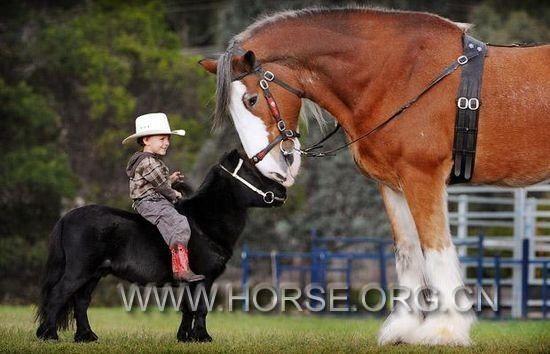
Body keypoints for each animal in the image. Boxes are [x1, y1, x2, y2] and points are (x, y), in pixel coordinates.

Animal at [36, 150, 286, 342]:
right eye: (251, 173)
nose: (282, 192)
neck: (203, 222)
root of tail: (66, 217)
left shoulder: (191, 280)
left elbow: (188, 308)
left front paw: (185, 338)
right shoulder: (205, 277)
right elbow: (201, 307)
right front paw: (203, 337)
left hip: (94, 274)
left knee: (80, 301)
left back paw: (86, 337)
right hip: (79, 271)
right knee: (58, 295)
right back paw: (50, 336)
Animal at [201, 6, 548, 348]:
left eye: (251, 100)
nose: (271, 168)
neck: (399, 75)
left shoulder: (422, 176)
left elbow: (436, 248)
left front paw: (444, 330)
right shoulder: (393, 185)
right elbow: (408, 251)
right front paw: (405, 327)